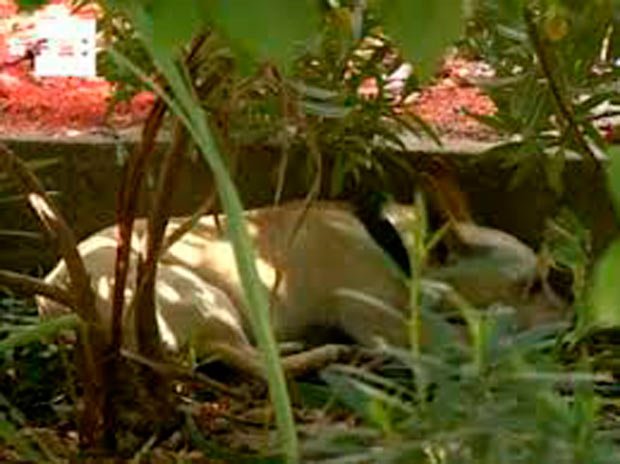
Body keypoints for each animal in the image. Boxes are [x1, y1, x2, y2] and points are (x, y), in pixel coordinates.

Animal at [36, 199, 564, 376]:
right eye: (531, 285)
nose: (568, 301)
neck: (395, 245)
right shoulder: (373, 313)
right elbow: (451, 336)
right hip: (200, 293)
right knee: (256, 364)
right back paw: (318, 353)